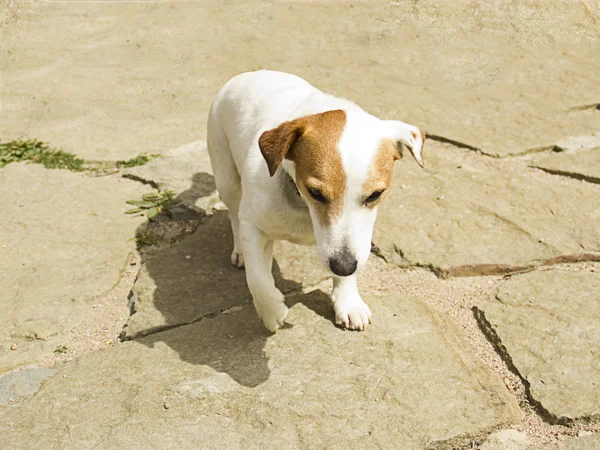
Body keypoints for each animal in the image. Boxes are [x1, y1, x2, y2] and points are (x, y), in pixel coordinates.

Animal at [209, 70, 424, 330]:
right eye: (315, 192)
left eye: (375, 194)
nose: (343, 266)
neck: (303, 205)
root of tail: (251, 73)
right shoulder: (254, 225)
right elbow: (258, 278)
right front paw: (271, 312)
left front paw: (348, 301)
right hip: (226, 177)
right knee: (234, 215)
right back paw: (240, 250)